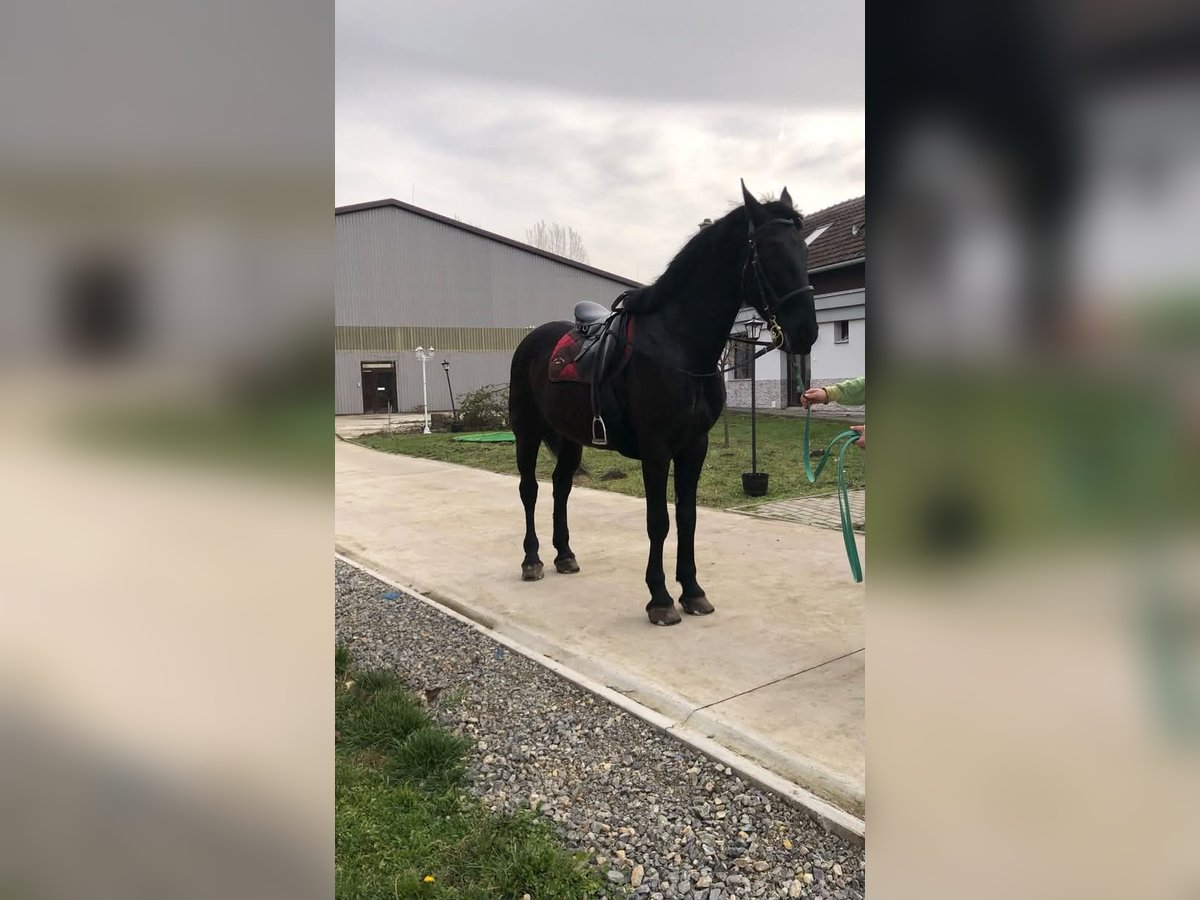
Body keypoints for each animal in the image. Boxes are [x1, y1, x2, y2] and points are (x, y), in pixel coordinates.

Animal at [506, 183, 816, 628]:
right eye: (770, 250)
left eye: (803, 249)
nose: (806, 332)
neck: (679, 347)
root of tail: (532, 340)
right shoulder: (656, 449)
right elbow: (659, 521)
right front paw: (660, 599)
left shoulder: (694, 446)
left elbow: (687, 516)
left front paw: (693, 592)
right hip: (527, 431)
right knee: (529, 489)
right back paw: (532, 559)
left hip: (570, 438)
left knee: (561, 486)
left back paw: (564, 554)